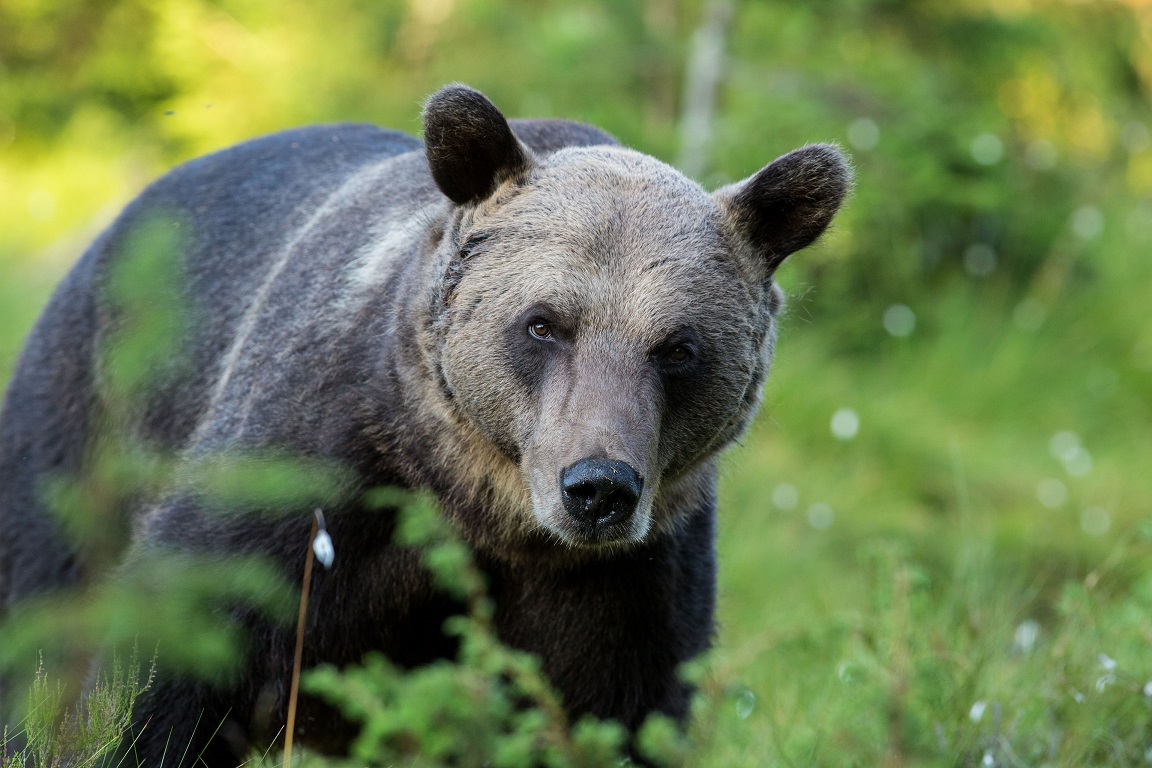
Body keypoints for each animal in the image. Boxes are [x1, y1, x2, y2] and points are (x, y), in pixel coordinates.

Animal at [0, 86, 847, 764]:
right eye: (544, 324)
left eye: (677, 348)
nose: (598, 488)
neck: (482, 503)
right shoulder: (316, 469)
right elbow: (174, 651)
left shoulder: (625, 583)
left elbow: (617, 709)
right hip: (92, 406)